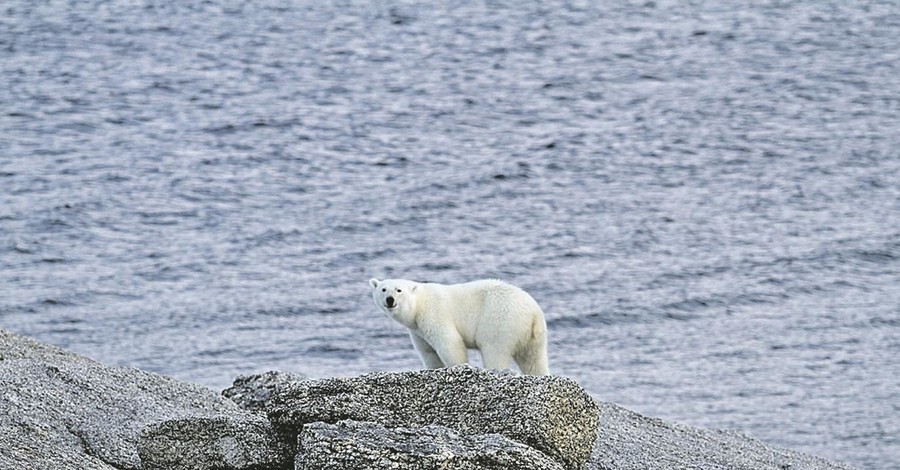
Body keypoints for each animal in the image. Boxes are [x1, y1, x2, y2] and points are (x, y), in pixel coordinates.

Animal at [366, 280, 548, 374]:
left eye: (399, 290)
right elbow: (428, 352)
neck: (420, 304)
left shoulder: (434, 314)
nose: (390, 300)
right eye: (383, 289)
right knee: (533, 359)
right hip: (533, 336)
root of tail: (534, 313)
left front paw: (458, 366)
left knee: (494, 349)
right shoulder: (417, 331)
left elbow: (449, 343)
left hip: (500, 319)